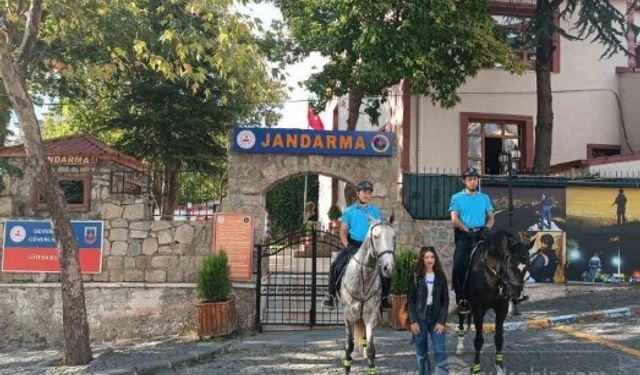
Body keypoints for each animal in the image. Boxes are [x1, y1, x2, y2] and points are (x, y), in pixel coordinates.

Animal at [340, 217, 396, 375]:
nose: (388, 268)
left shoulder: (371, 316)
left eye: (394, 236)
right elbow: (349, 346)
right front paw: (347, 366)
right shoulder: (348, 316)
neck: (364, 276)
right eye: (376, 236)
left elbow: (371, 349)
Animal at [456, 232, 528, 375]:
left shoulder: (501, 309)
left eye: (527, 265)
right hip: (460, 299)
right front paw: (476, 367)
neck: (491, 275)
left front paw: (499, 367)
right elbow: (478, 340)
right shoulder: (478, 310)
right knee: (461, 319)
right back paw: (460, 346)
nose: (519, 296)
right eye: (511, 264)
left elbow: (499, 338)